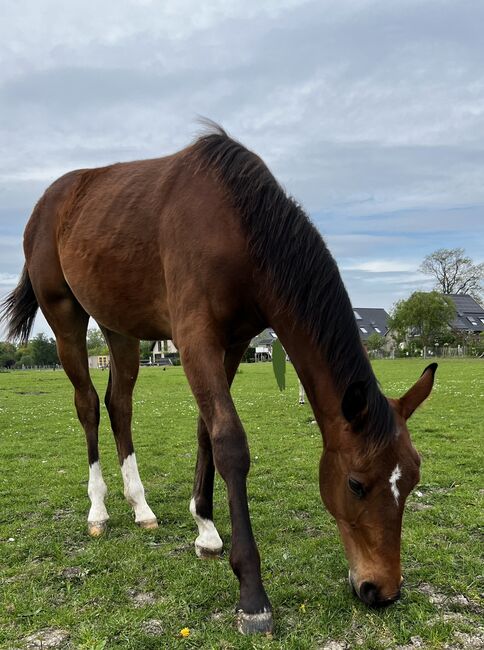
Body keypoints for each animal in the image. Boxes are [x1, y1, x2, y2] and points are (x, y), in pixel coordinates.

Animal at [0, 123, 438, 632]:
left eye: (411, 480)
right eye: (355, 484)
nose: (382, 590)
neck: (237, 226)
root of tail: (49, 201)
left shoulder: (233, 344)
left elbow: (205, 431)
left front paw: (206, 529)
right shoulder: (195, 339)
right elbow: (229, 442)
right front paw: (251, 593)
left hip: (120, 330)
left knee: (119, 405)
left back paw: (141, 506)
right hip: (65, 317)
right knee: (88, 405)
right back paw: (100, 509)